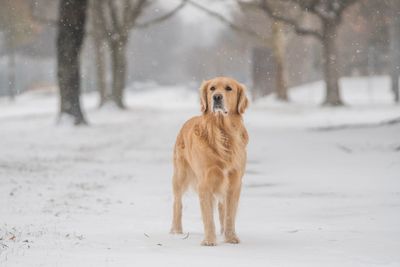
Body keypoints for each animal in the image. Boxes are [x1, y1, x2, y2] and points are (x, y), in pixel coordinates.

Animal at [170, 76, 250, 246]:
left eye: (228, 88)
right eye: (212, 88)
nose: (217, 97)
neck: (222, 133)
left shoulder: (234, 182)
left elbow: (229, 214)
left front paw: (230, 237)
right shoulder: (205, 182)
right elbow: (208, 216)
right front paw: (209, 241)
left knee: (221, 207)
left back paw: (222, 232)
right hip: (180, 176)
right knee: (177, 204)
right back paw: (176, 231)